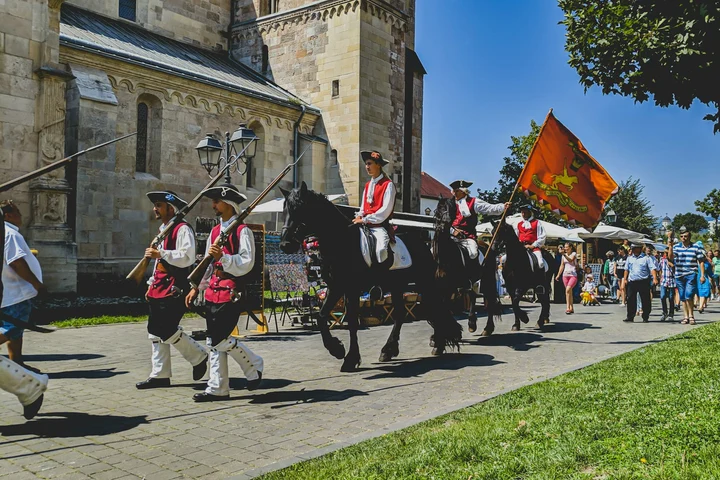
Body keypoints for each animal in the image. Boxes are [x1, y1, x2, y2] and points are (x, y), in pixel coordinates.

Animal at [278, 182, 458, 374]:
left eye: (299, 208)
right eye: (284, 210)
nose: (285, 244)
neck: (341, 241)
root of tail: (422, 244)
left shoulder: (351, 289)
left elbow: (352, 321)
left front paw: (350, 358)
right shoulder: (336, 287)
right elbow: (321, 316)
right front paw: (337, 349)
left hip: (424, 283)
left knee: (436, 307)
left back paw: (439, 344)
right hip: (398, 286)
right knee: (401, 314)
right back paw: (389, 350)